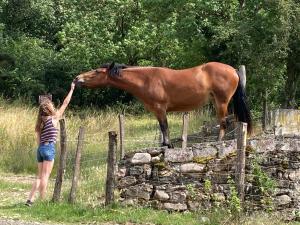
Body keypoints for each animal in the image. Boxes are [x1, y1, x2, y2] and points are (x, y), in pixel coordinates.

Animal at [74, 61, 251, 148]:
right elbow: (162, 127)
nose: (77, 78)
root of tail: (233, 70)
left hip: (221, 102)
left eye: (97, 72)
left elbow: (164, 126)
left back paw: (218, 141)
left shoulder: (160, 109)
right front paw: (165, 144)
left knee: (224, 122)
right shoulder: (157, 111)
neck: (146, 79)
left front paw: (167, 144)